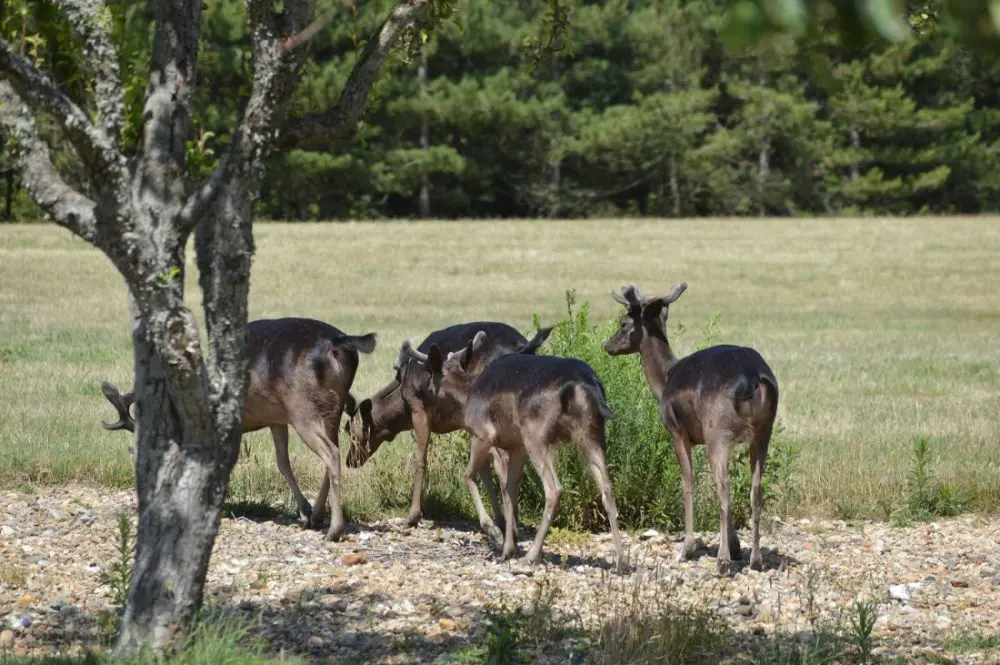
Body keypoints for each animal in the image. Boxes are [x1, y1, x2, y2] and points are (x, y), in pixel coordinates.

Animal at [100, 316, 376, 540]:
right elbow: (283, 463)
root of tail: (339, 343)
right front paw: (304, 512)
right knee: (333, 451)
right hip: (331, 409)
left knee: (331, 453)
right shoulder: (276, 419)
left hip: (303, 408)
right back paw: (318, 516)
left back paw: (334, 530)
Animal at [348, 320, 556, 528]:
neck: (402, 403)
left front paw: (413, 515)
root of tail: (522, 347)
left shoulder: (419, 409)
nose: (350, 461)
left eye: (349, 430)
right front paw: (495, 517)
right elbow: (482, 466)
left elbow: (421, 460)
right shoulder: (466, 420)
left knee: (503, 459)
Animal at [398, 330, 624, 572]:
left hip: (536, 434)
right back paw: (622, 561)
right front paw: (508, 547)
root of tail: (583, 385)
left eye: (430, 375)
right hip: (592, 434)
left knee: (554, 489)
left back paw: (532, 555)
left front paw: (494, 531)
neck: (467, 395)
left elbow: (469, 476)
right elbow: (509, 490)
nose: (421, 393)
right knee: (607, 487)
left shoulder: (483, 434)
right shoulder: (517, 445)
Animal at [600, 282, 780, 572]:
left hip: (719, 429)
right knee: (755, 489)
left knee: (724, 487)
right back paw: (755, 559)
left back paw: (722, 561)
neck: (665, 379)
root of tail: (752, 378)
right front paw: (736, 547)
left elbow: (687, 483)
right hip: (763, 432)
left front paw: (688, 548)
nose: (607, 345)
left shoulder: (677, 432)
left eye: (624, 323)